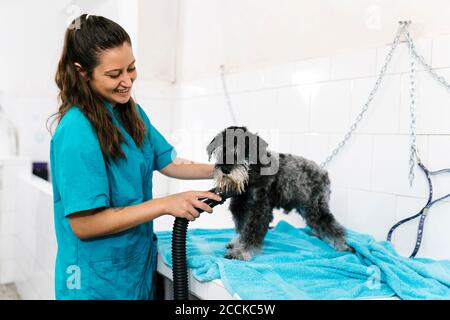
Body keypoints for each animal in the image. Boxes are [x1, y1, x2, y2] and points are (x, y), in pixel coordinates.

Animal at [207, 126, 356, 262]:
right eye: (222, 149)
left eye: (243, 150)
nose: (225, 169)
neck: (253, 173)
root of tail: (323, 172)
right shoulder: (240, 207)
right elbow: (242, 228)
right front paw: (236, 244)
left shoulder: (259, 210)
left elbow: (251, 231)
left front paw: (242, 252)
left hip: (315, 208)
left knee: (333, 226)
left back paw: (342, 245)